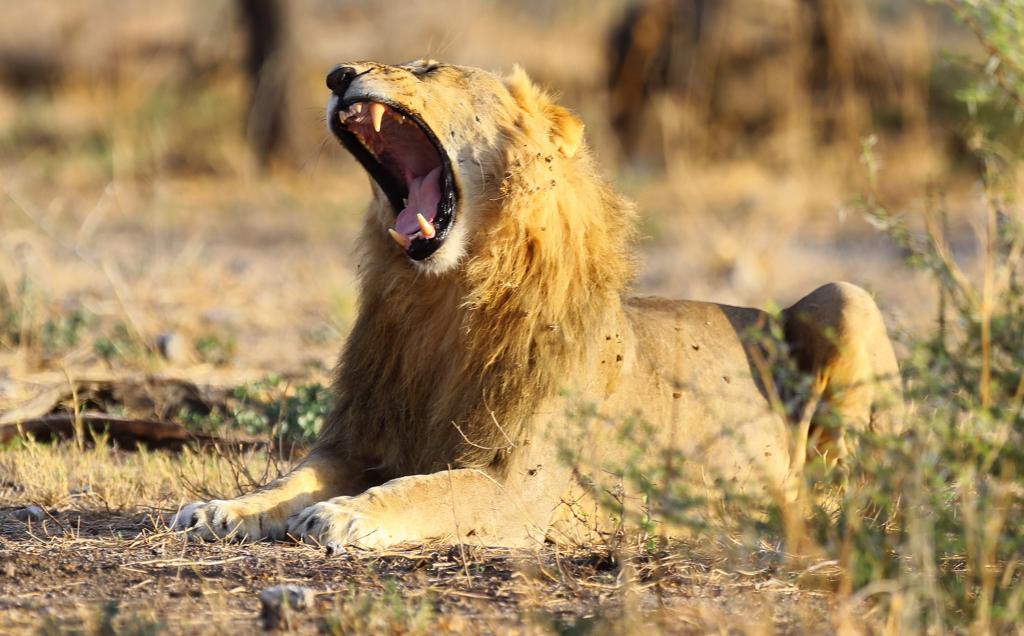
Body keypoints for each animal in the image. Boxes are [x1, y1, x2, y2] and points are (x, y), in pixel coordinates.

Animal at [172, 59, 901, 548]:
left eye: (427, 68)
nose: (338, 74)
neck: (443, 299)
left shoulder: (517, 485)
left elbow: (432, 490)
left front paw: (349, 513)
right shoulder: (359, 438)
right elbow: (289, 479)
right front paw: (221, 508)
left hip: (847, 295)